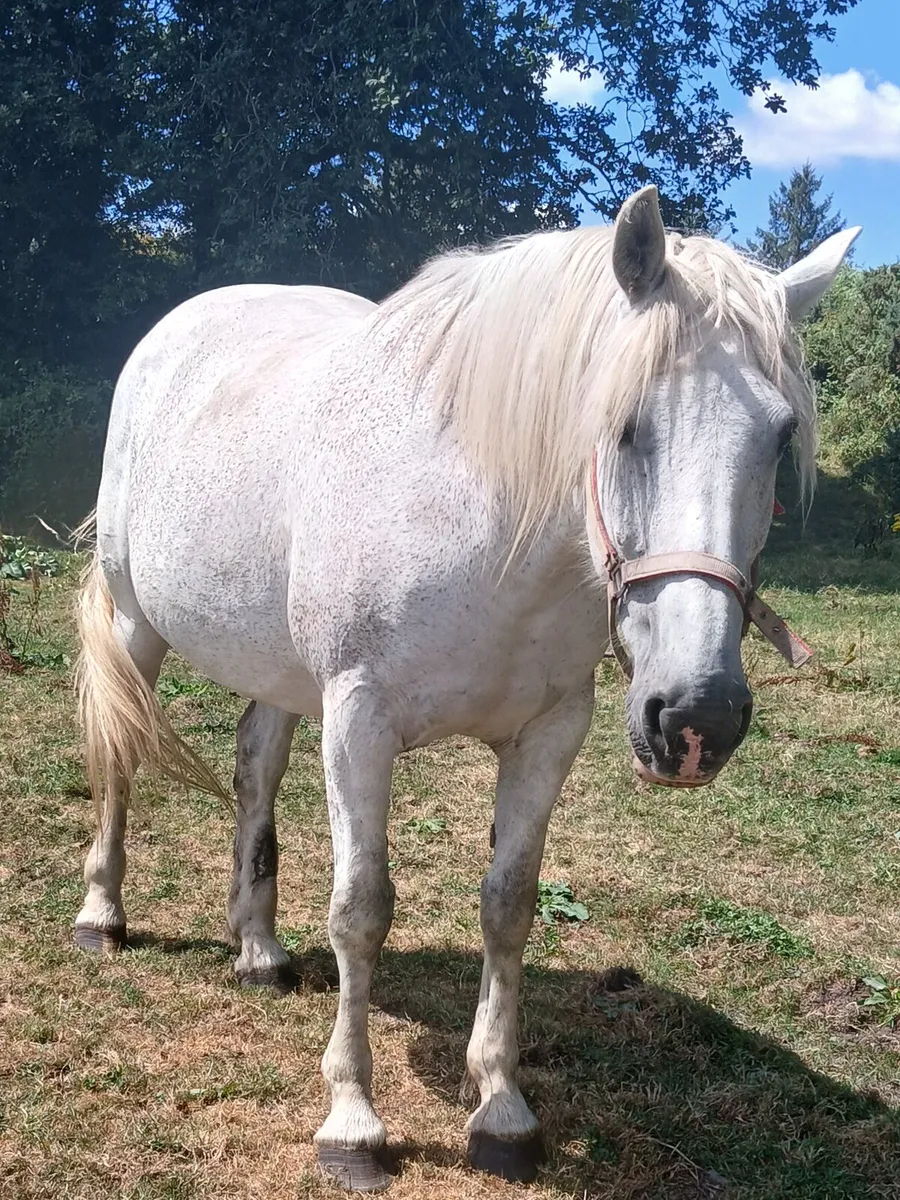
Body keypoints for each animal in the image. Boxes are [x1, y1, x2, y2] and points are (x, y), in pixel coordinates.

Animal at [73, 186, 858, 1190]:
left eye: (781, 434)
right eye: (624, 424)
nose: (696, 719)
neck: (486, 525)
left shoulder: (550, 732)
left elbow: (508, 905)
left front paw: (503, 1110)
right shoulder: (359, 723)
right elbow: (362, 911)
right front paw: (354, 1125)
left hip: (282, 674)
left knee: (255, 767)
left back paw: (257, 949)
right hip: (138, 627)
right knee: (121, 759)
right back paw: (103, 916)